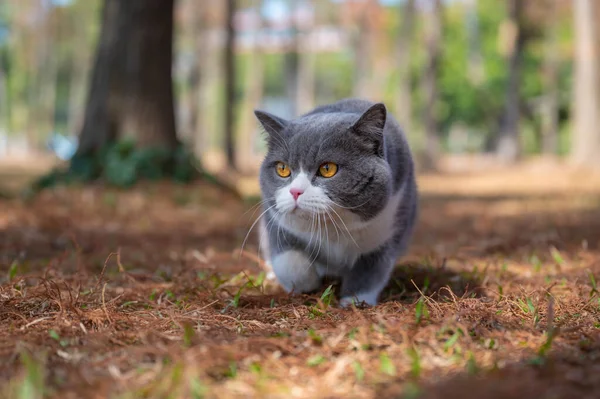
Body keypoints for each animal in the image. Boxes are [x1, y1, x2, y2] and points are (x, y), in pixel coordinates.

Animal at [253, 97, 418, 306]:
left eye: (327, 169)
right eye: (282, 169)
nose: (295, 191)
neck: (333, 227)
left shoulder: (389, 228)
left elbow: (371, 271)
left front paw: (354, 302)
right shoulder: (275, 218)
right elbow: (288, 259)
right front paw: (306, 284)